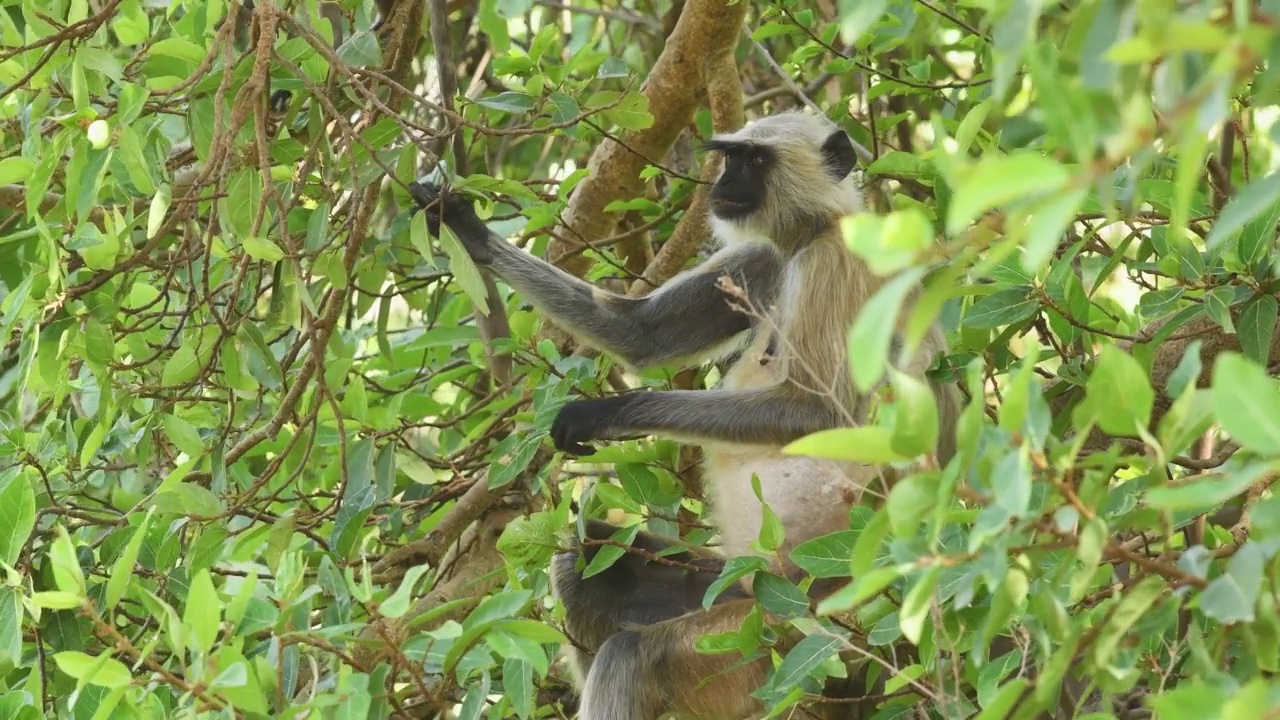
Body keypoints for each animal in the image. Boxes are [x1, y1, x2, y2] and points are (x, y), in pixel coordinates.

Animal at [409, 107, 962, 717]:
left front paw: (606, 412)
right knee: (580, 555)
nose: (723, 184)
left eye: (756, 160)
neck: (809, 234)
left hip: (782, 634)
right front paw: (461, 225)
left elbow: (819, 415)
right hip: (735, 587)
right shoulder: (760, 257)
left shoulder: (836, 262)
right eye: (731, 157)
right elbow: (639, 334)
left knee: (630, 654)